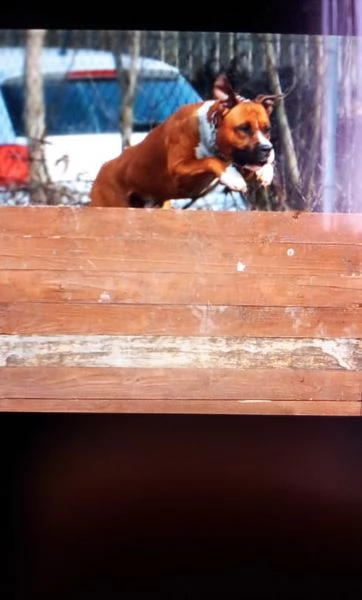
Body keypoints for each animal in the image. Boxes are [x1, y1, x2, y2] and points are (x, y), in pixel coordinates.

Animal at [90, 75, 274, 209]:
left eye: (267, 129)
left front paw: (266, 170)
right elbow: (210, 160)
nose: (267, 148)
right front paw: (231, 176)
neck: (210, 132)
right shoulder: (178, 169)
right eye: (244, 128)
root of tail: (103, 169)